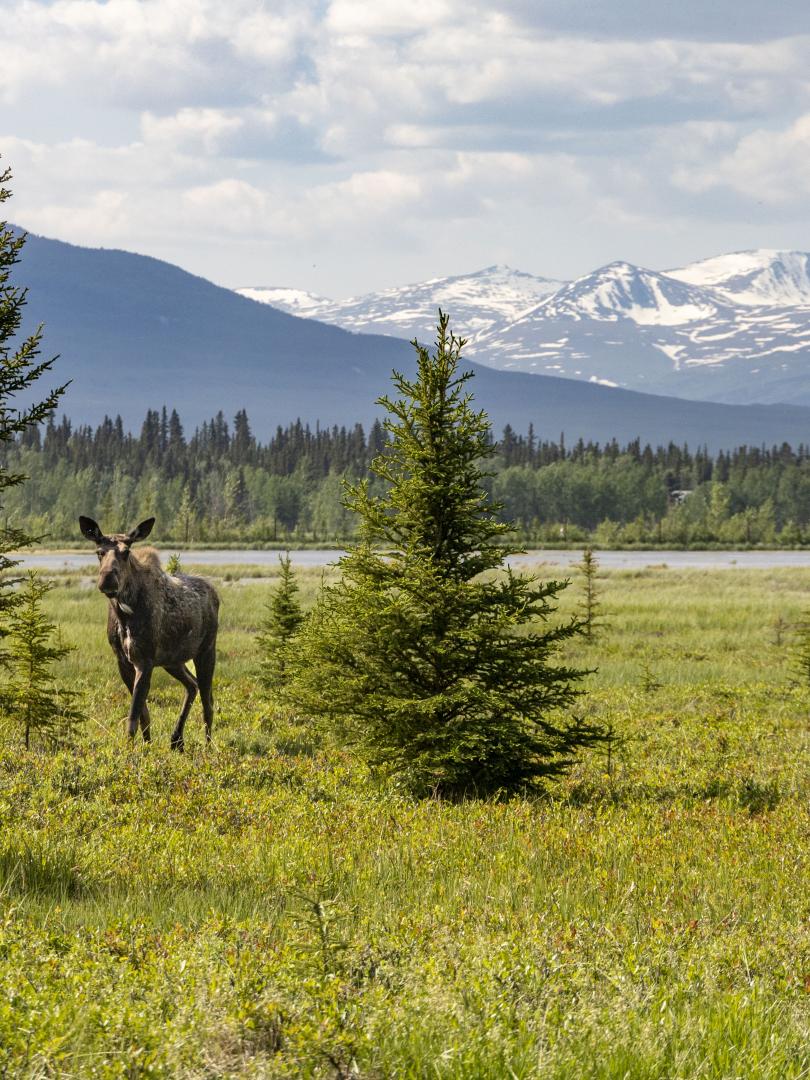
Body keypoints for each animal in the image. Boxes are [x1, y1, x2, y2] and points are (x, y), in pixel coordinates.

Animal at [79, 516, 219, 750]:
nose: (107, 579)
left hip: (206, 651)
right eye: (99, 552)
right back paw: (176, 739)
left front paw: (130, 751)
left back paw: (207, 747)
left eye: (126, 552)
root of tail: (215, 593)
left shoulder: (144, 660)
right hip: (173, 660)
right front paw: (146, 747)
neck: (124, 615)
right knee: (192, 685)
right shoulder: (124, 661)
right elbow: (143, 713)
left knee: (208, 701)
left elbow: (133, 716)